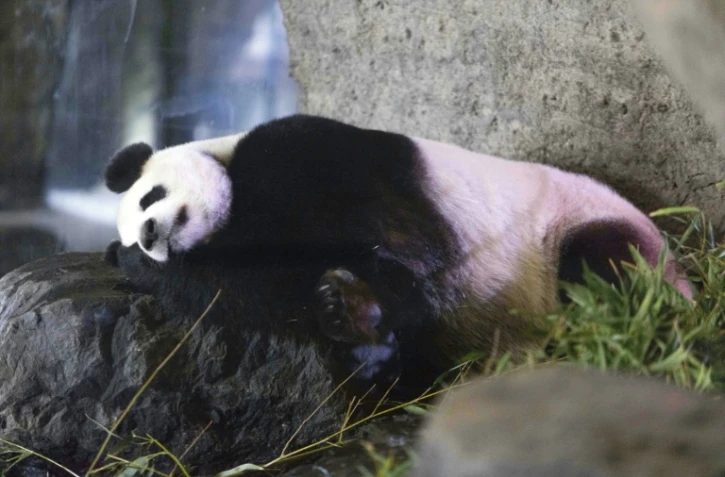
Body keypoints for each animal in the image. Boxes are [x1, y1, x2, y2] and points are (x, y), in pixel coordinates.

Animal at [104, 113, 693, 396]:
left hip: (585, 237)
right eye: (134, 232)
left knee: (602, 271)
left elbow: (395, 247)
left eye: (149, 197)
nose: (150, 238)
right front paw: (355, 322)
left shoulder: (310, 155)